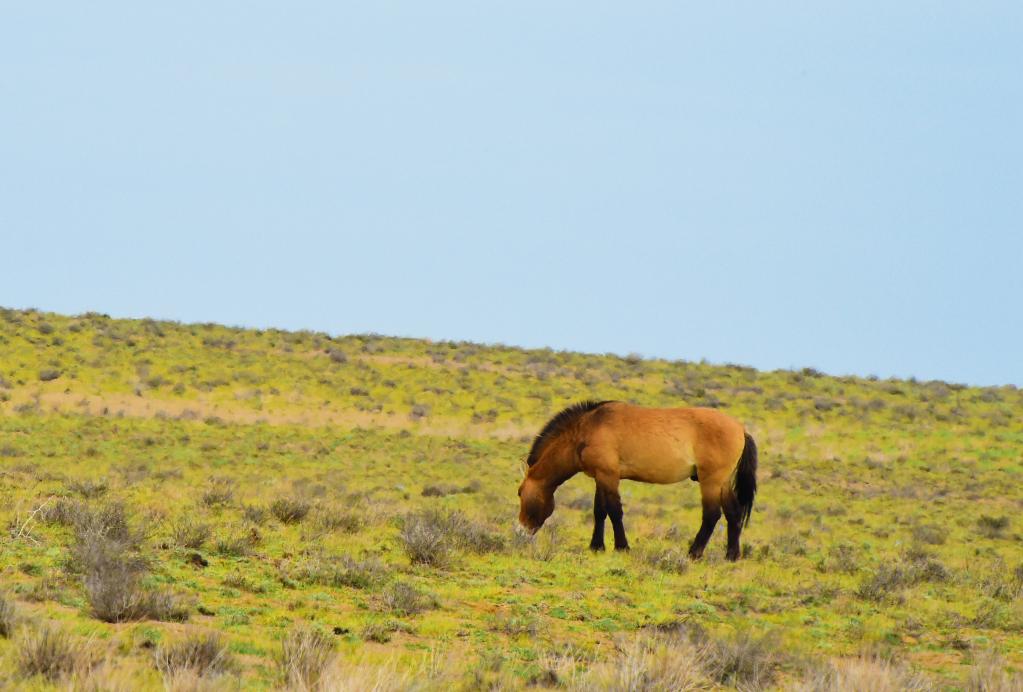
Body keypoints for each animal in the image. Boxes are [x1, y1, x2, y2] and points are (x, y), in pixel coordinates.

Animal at [515, 399, 757, 560]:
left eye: (519, 492)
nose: (520, 531)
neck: (587, 429)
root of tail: (741, 429)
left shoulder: (609, 476)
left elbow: (614, 511)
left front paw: (622, 547)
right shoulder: (601, 477)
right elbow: (599, 511)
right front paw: (596, 546)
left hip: (711, 481)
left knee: (711, 515)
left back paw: (694, 553)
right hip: (722, 483)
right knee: (733, 513)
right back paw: (731, 556)